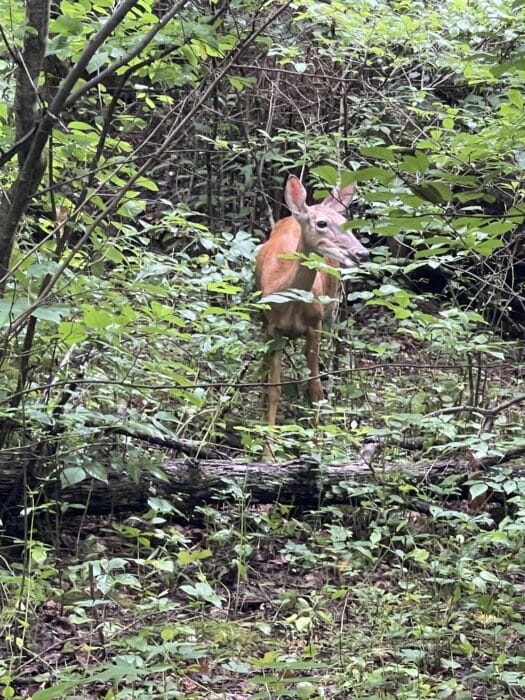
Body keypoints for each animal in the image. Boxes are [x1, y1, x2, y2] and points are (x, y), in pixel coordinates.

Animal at [254, 174, 368, 432]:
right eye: (322, 223)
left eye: (345, 221)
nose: (361, 253)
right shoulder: (273, 327)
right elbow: (274, 389)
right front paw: (268, 437)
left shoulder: (314, 325)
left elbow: (315, 390)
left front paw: (318, 437)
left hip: (332, 305)